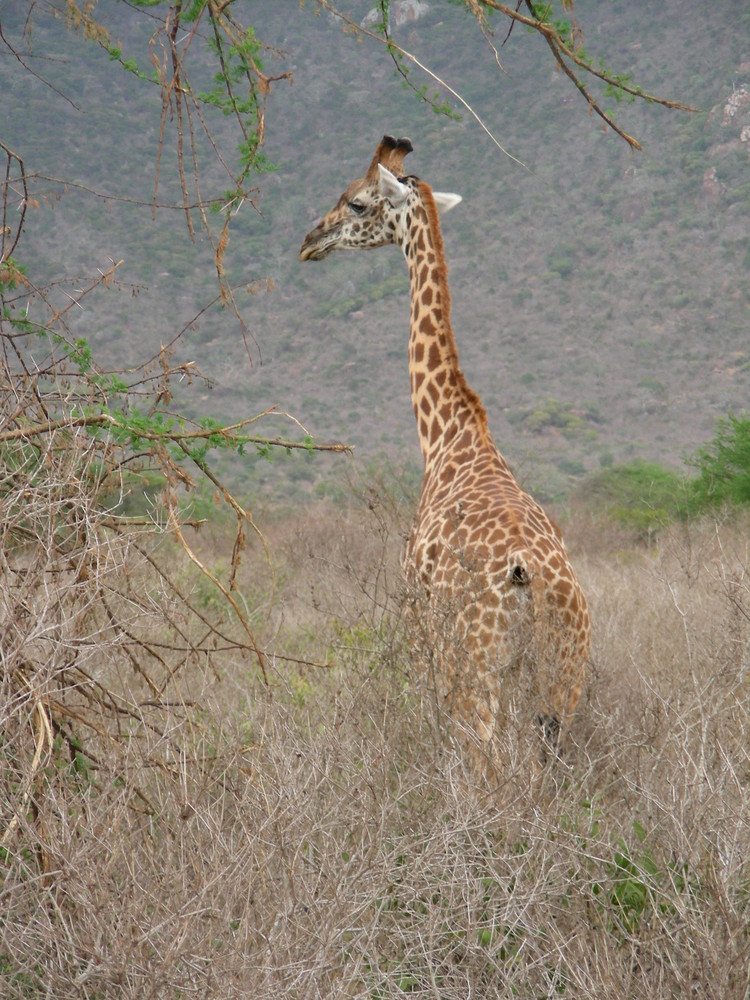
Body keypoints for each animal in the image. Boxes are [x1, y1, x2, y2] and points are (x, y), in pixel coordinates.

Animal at [302, 131, 592, 756]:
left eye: (357, 202)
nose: (310, 240)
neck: (448, 434)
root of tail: (531, 577)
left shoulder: (417, 627)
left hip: (474, 665)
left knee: (487, 761)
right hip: (563, 678)